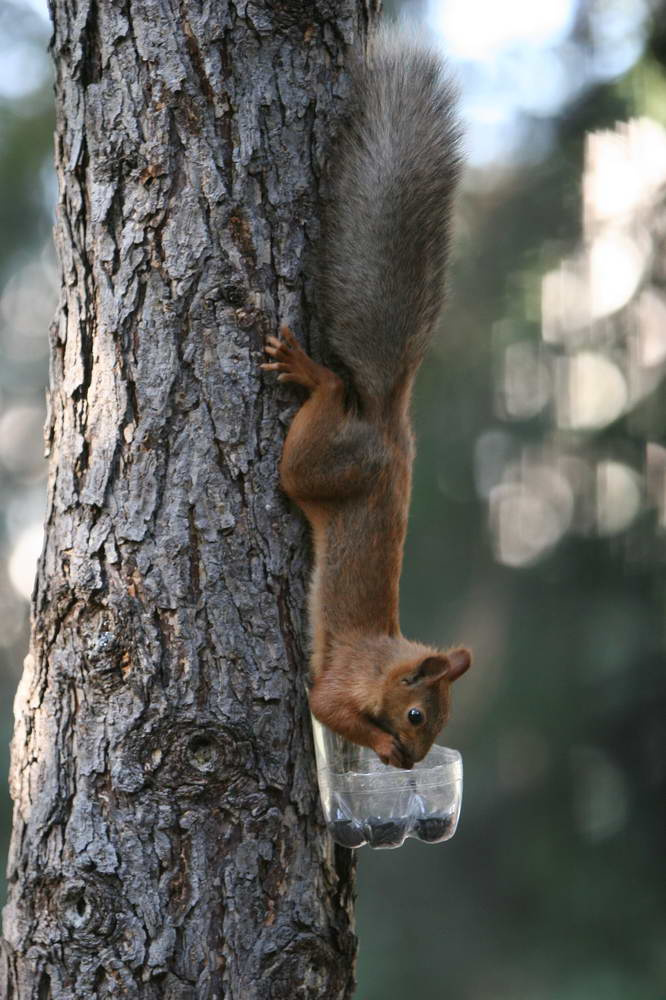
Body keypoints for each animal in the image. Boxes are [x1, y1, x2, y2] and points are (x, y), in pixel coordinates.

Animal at [261, 25, 471, 769]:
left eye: (439, 725)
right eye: (415, 715)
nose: (409, 761)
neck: (384, 657)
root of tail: (388, 423)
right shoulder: (341, 680)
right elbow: (327, 707)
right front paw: (376, 748)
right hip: (323, 468)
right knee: (314, 427)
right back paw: (312, 371)